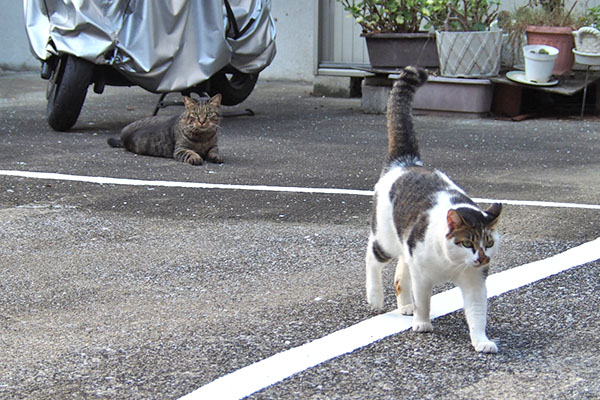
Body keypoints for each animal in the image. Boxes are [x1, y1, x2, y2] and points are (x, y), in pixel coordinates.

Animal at [366, 67, 502, 354]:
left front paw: (481, 341)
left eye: (489, 242)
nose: (482, 258)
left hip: (405, 245)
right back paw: (375, 297)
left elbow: (477, 313)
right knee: (371, 257)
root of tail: (406, 162)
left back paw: (404, 305)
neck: (452, 264)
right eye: (467, 243)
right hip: (385, 240)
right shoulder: (423, 274)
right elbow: (424, 301)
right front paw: (422, 324)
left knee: (400, 275)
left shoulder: (475, 282)